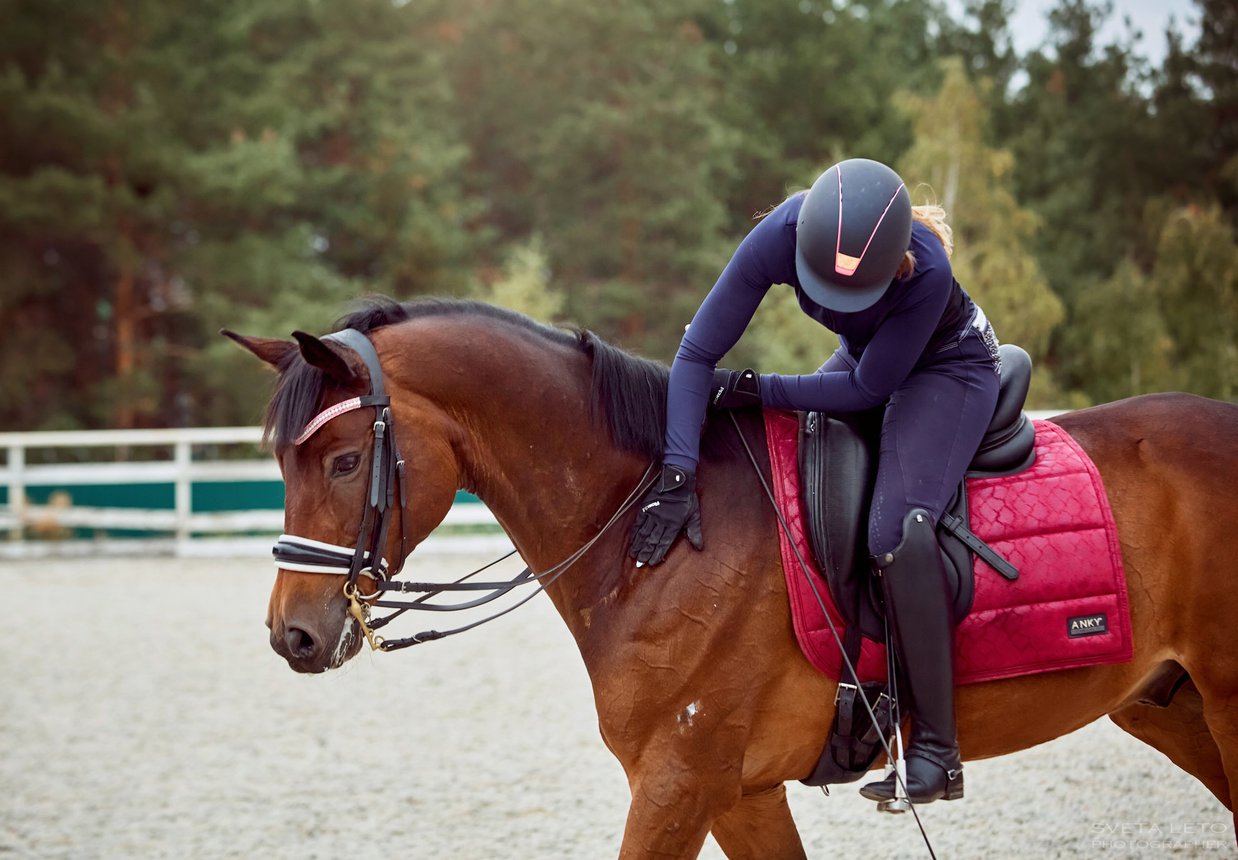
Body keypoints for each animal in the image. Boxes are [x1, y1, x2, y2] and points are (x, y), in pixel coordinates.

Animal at [227, 298, 1238, 860]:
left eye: (346, 462)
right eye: (279, 461)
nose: (293, 634)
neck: (651, 526)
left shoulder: (679, 783)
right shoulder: (738, 793)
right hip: (1169, 704)